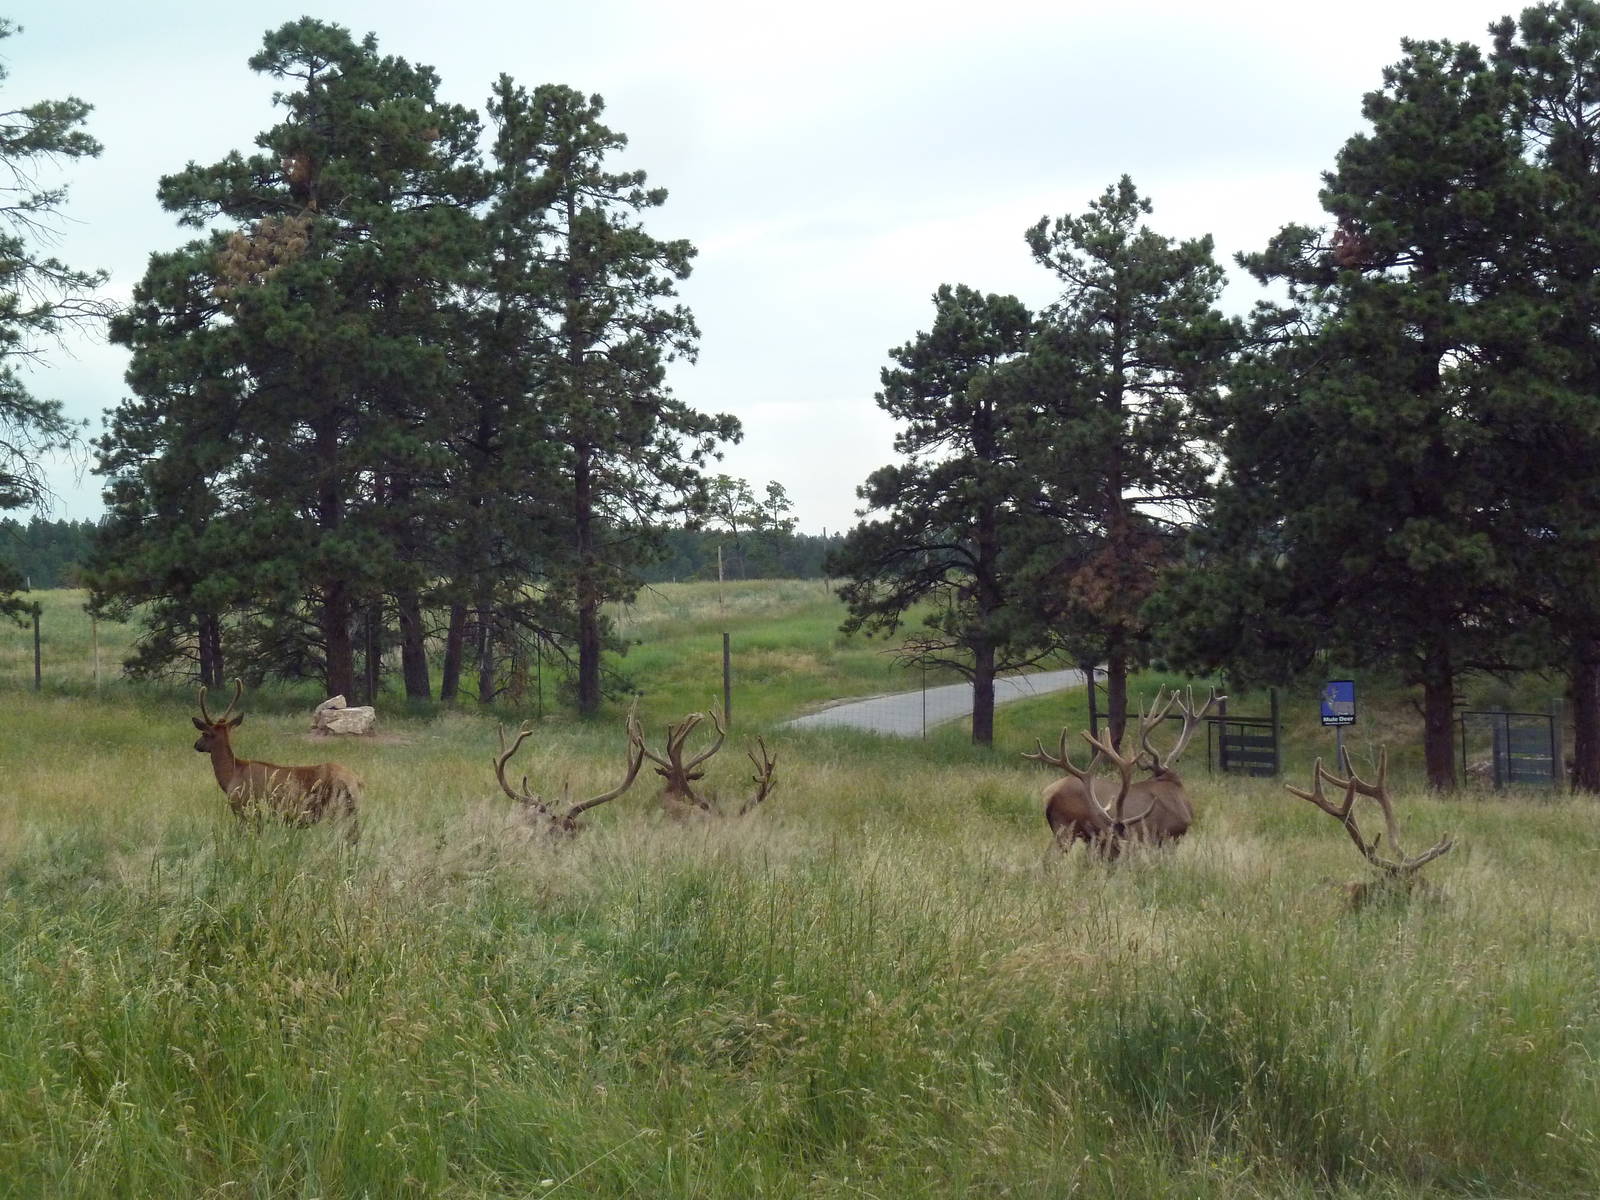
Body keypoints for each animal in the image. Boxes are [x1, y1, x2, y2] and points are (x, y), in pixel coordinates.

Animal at [192, 679, 363, 842]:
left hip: (333, 811)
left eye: (204, 733)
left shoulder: (244, 808)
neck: (231, 775)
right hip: (351, 812)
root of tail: (355, 781)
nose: (196, 744)